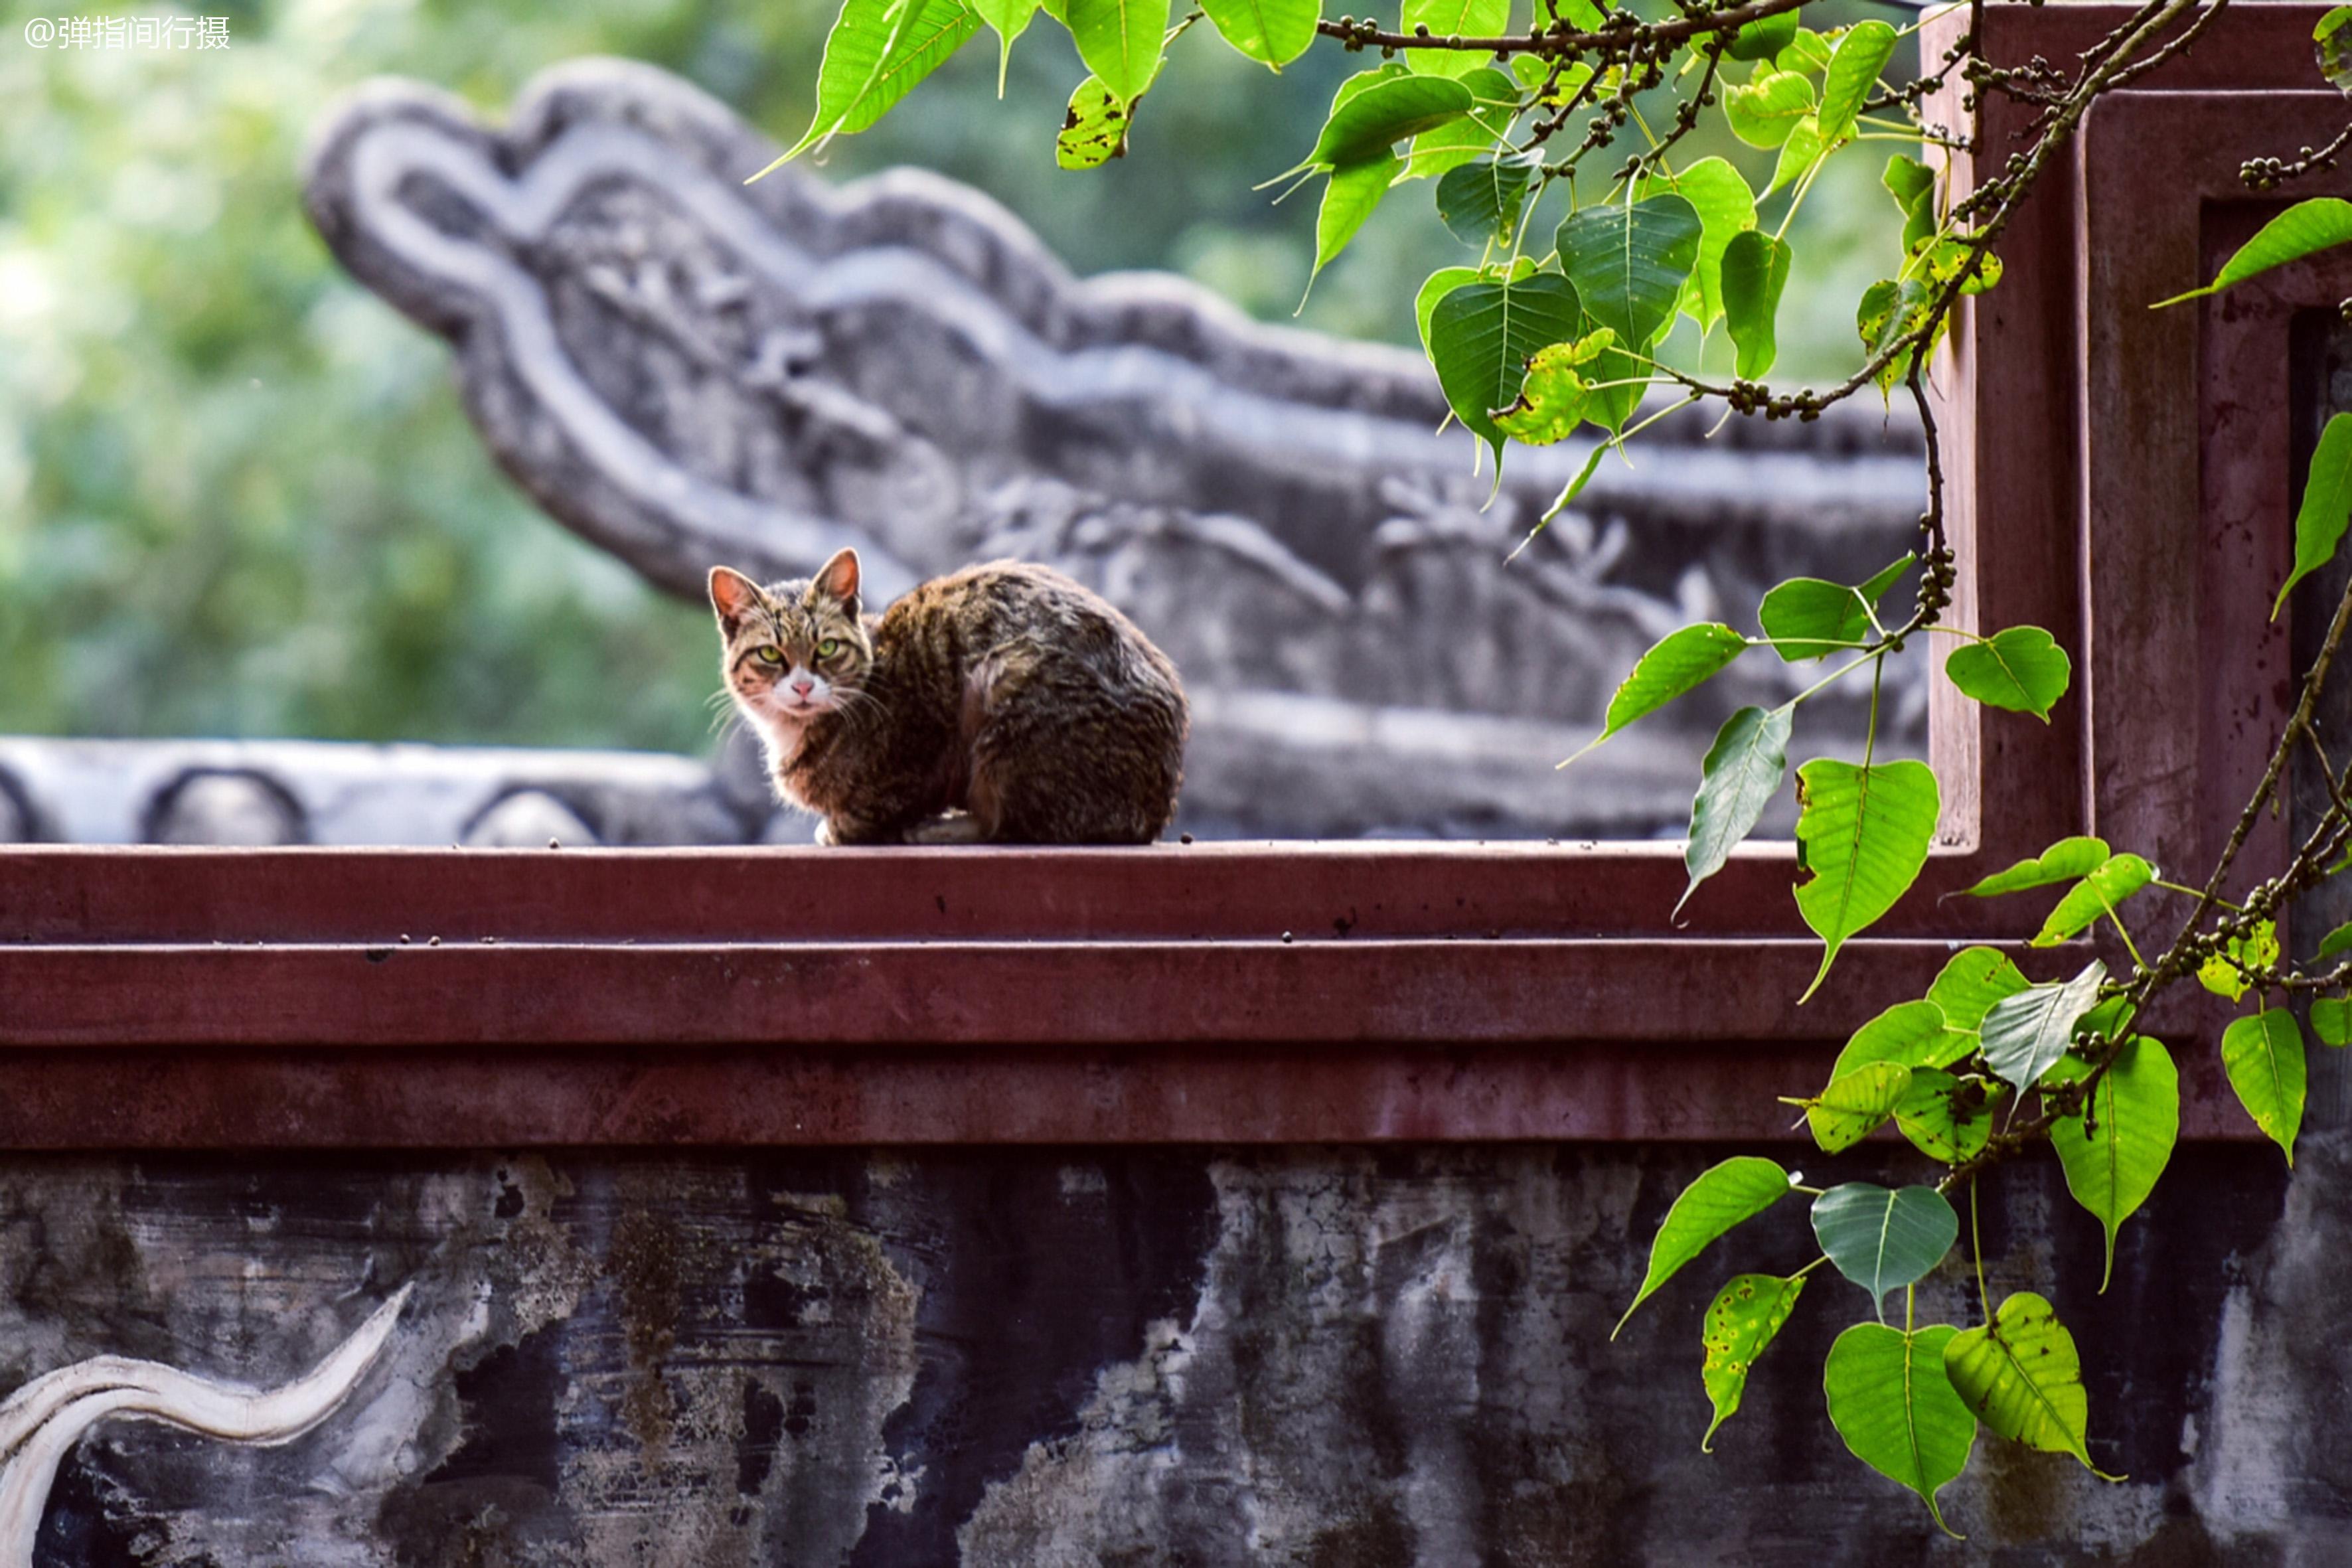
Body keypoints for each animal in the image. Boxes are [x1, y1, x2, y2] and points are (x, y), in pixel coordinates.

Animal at [705, 552, 1185, 846]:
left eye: (827, 648)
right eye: (771, 654)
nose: (803, 686)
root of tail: (1153, 811)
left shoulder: (919, 754)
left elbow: (873, 811)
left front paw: (841, 829)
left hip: (1003, 684)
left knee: (1014, 826)